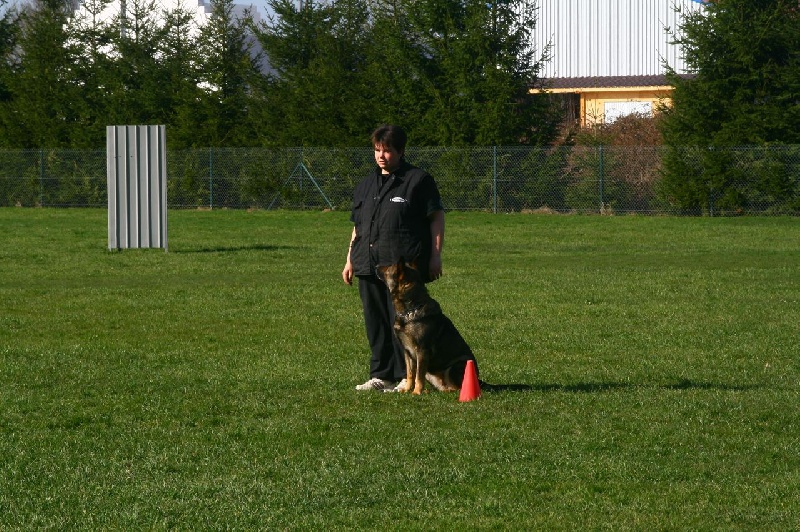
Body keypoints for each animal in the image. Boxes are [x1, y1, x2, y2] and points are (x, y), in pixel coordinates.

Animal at [378, 260, 478, 392]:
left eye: (388, 267)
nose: (375, 266)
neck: (410, 311)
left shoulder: (422, 351)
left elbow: (418, 376)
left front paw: (416, 392)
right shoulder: (407, 352)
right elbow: (411, 374)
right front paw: (407, 390)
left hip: (455, 367)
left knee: (457, 387)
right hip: (430, 373)